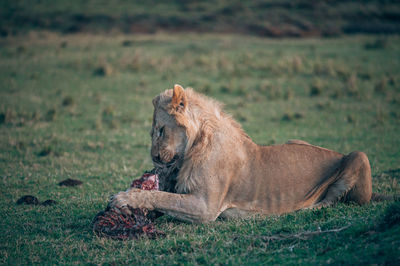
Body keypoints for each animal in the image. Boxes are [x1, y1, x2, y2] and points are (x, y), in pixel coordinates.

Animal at [108, 85, 372, 222]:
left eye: (161, 130)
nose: (153, 157)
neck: (196, 144)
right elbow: (164, 197)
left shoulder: (206, 207)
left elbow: (162, 197)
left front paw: (124, 197)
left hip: (359, 155)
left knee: (332, 200)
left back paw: (304, 208)